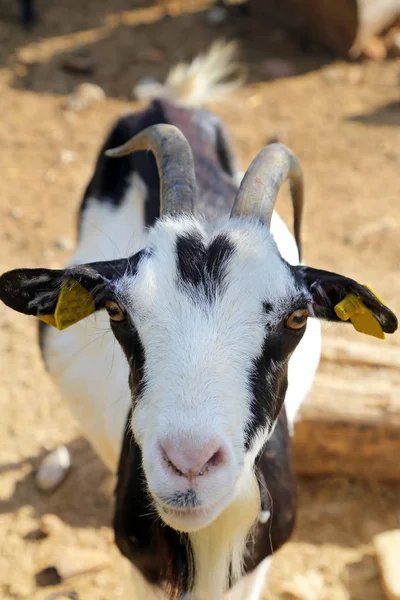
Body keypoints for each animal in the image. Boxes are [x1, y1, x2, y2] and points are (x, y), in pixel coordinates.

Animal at [0, 42, 396, 600]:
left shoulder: (257, 564)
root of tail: (171, 100)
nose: (189, 465)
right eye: (117, 311)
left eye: (297, 317)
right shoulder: (141, 568)